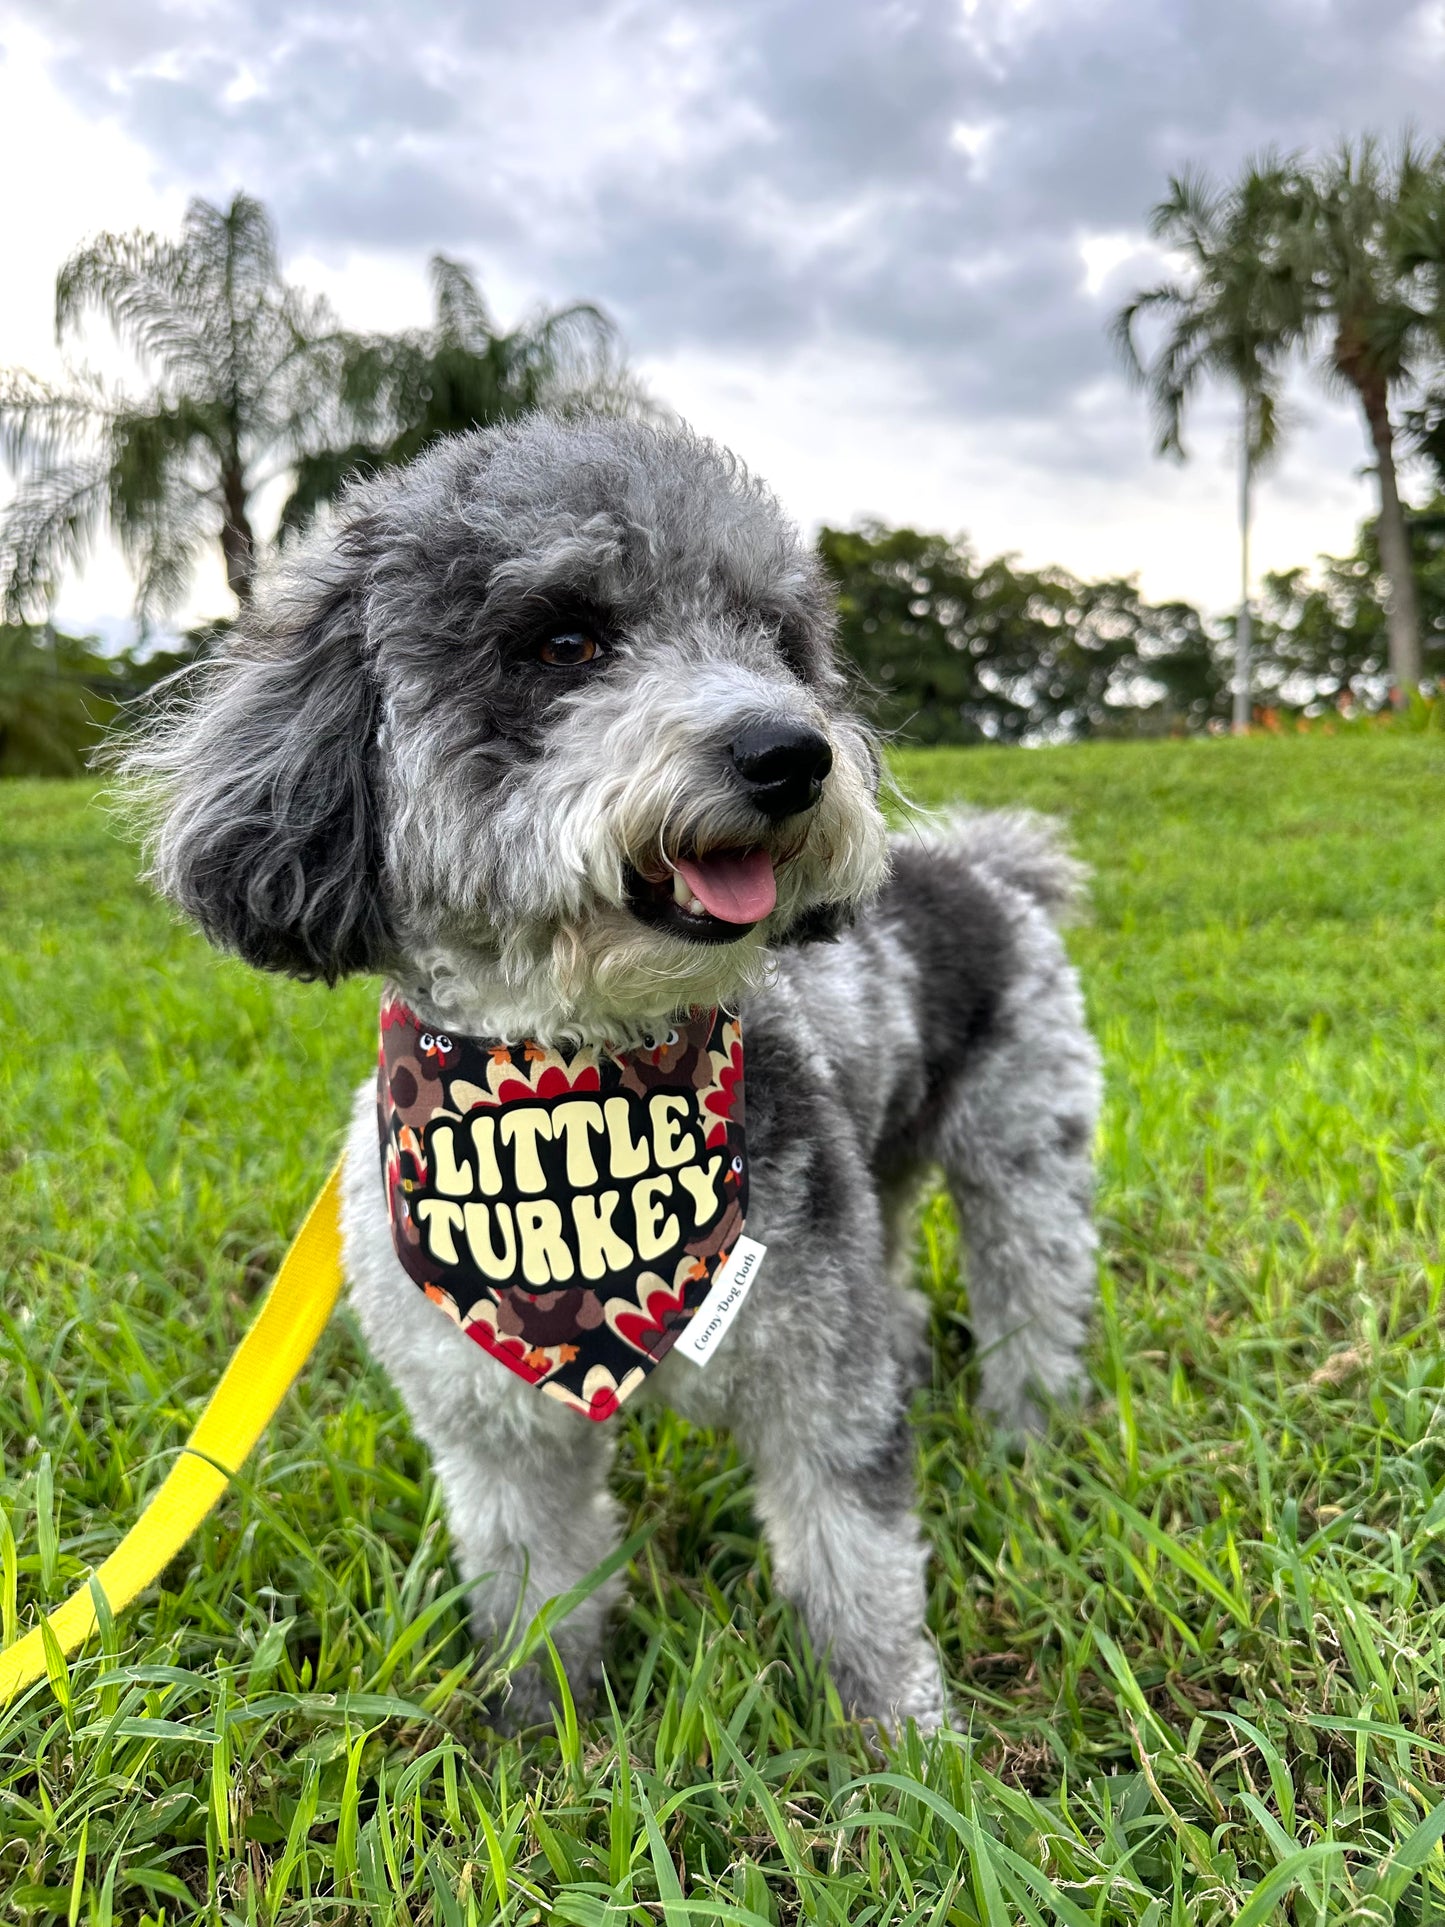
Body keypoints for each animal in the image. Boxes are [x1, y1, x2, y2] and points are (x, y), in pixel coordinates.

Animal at [121, 418, 1094, 1734]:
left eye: (775, 641)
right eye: (565, 641)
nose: (791, 751)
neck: (575, 1078)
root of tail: (989, 868)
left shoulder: (818, 1385)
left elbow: (855, 1568)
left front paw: (901, 1737)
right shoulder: (491, 1429)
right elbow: (534, 1580)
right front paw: (546, 1734)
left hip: (1023, 1147)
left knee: (1033, 1294)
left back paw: (1027, 1434)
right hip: (876, 1172)